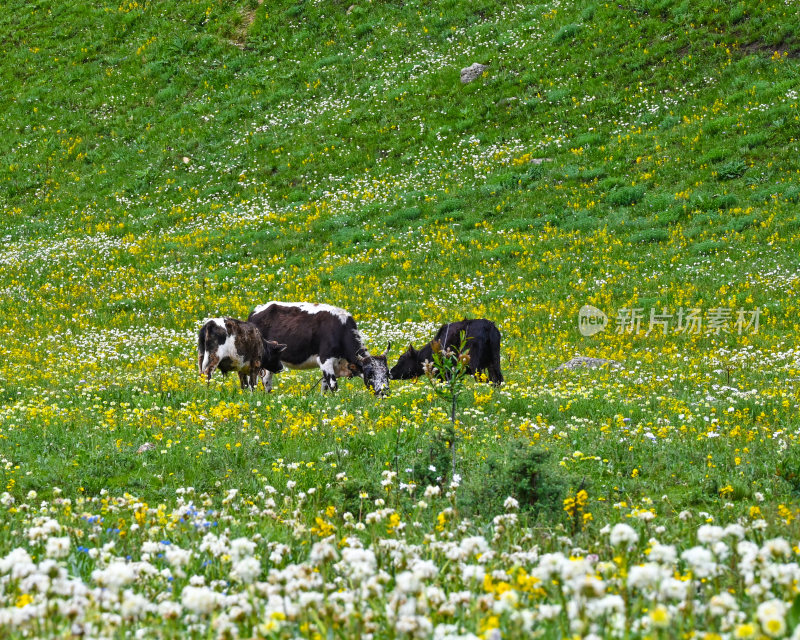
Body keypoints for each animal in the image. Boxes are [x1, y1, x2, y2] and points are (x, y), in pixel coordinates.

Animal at [247, 300, 390, 396]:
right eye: (370, 374)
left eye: (387, 373)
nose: (384, 392)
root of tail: (256, 311)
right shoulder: (325, 359)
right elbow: (333, 385)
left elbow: (325, 386)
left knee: (266, 380)